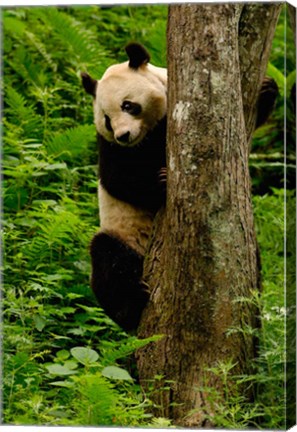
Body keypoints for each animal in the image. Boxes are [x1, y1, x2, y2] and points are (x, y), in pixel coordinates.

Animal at [80, 43, 276, 330]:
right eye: (107, 119)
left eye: (128, 105)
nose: (123, 135)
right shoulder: (109, 146)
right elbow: (117, 178)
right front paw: (161, 184)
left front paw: (267, 89)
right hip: (124, 234)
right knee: (107, 259)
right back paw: (131, 306)